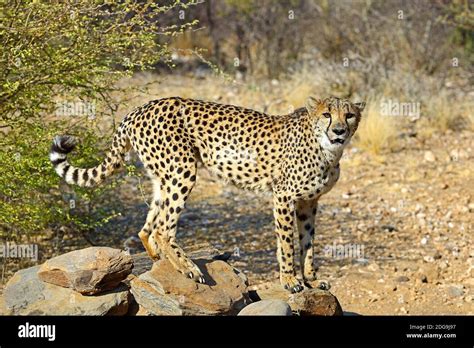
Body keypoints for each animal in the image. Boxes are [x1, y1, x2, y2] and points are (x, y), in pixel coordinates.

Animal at [49, 96, 366, 294]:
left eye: (349, 115)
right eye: (327, 114)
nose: (339, 130)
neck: (327, 149)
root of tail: (140, 108)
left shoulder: (309, 202)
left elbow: (308, 244)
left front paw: (311, 280)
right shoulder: (284, 197)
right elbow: (288, 243)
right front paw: (290, 281)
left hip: (162, 177)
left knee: (147, 227)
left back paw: (159, 259)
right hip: (182, 170)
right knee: (163, 228)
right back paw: (188, 267)